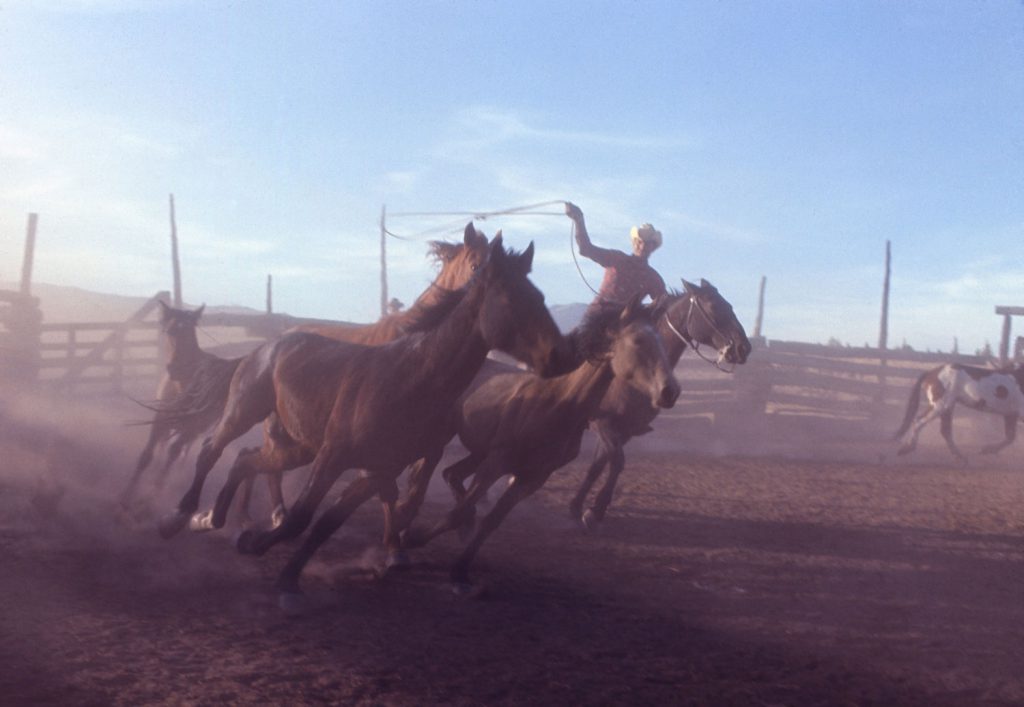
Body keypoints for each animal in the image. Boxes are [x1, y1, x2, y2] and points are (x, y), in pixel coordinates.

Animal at [158, 232, 569, 606]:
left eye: (540, 297)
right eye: (510, 297)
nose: (562, 354)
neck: (409, 377)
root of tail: (267, 345)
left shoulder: (378, 468)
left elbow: (328, 523)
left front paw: (285, 575)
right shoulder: (334, 457)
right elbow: (303, 517)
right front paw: (265, 551)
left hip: (298, 446)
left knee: (246, 460)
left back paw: (214, 519)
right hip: (246, 413)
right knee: (212, 449)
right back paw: (181, 517)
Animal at [399, 295, 679, 590]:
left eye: (661, 341)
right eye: (638, 340)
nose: (670, 391)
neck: (557, 403)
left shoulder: (533, 478)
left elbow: (492, 521)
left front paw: (460, 571)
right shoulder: (497, 463)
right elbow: (457, 512)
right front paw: (413, 539)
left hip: (479, 451)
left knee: (451, 474)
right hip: (443, 438)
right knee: (421, 478)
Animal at [569, 278, 753, 524]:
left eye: (730, 306)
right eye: (714, 307)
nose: (744, 348)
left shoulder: (624, 431)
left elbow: (598, 466)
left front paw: (578, 506)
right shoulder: (603, 423)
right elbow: (616, 462)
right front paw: (595, 510)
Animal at [888, 362, 1024, 463]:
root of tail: (931, 373)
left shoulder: (1010, 415)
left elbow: (1010, 437)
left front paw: (987, 449)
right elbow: (1010, 438)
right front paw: (986, 449)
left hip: (947, 407)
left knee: (945, 431)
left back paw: (960, 457)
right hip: (941, 406)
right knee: (919, 420)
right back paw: (907, 448)